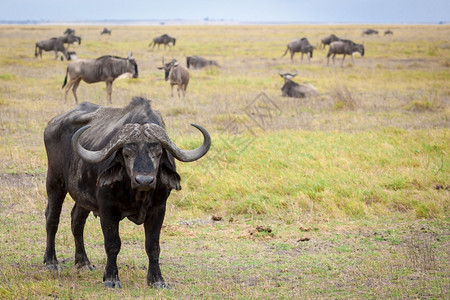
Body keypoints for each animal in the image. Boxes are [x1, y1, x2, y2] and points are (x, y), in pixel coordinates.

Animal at [44, 96, 211, 288]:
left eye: (158, 152)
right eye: (126, 153)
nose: (144, 180)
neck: (138, 195)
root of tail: (53, 123)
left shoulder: (159, 209)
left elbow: (153, 246)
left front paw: (157, 280)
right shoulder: (107, 210)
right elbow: (112, 244)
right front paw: (111, 278)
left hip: (82, 196)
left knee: (77, 220)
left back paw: (83, 262)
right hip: (55, 181)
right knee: (52, 218)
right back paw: (51, 262)